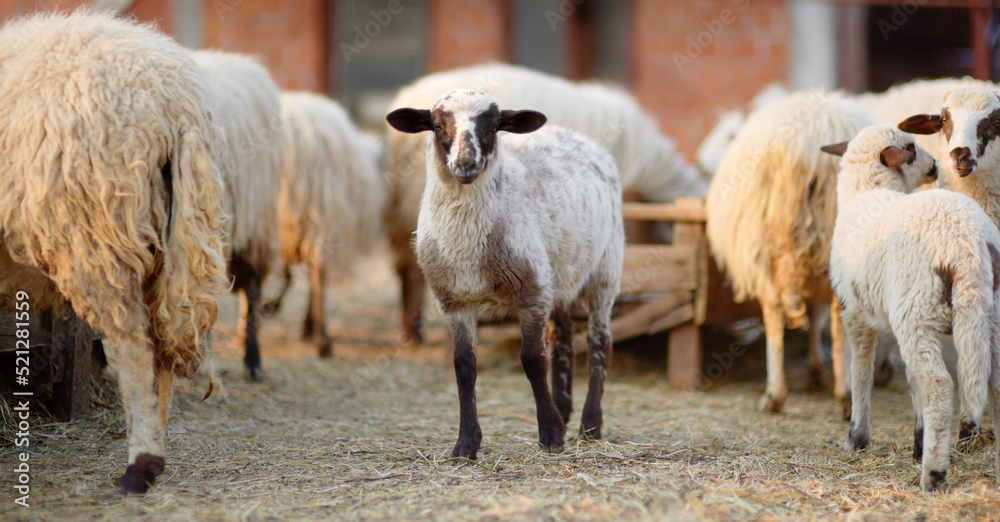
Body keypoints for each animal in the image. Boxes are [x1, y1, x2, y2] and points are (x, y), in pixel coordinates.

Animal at [0, 11, 228, 492]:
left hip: (94, 239)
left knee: (134, 347)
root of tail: (171, 98)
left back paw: (140, 468)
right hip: (169, 232)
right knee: (161, 350)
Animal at [386, 89, 624, 458]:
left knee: (600, 342)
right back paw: (564, 409)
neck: (467, 242)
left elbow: (532, 360)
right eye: (437, 125)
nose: (466, 163)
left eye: (494, 125)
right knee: (565, 338)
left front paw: (551, 434)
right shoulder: (453, 301)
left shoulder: (531, 293)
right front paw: (466, 444)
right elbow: (464, 366)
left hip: (604, 269)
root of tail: (578, 136)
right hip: (558, 276)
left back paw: (590, 424)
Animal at [705, 90, 875, 416]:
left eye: (727, 133)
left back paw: (777, 394)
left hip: (764, 248)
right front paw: (816, 371)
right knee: (832, 320)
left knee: (774, 315)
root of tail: (806, 143)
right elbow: (815, 316)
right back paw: (843, 393)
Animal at [822, 124, 1000, 491]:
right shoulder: (895, 322)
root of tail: (968, 244)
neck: (868, 192)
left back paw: (933, 476)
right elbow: (910, 380)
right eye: (911, 148)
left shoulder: (856, 315)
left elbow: (861, 372)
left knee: (939, 385)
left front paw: (856, 437)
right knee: (996, 384)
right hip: (985, 316)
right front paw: (919, 442)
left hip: (917, 313)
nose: (935, 166)